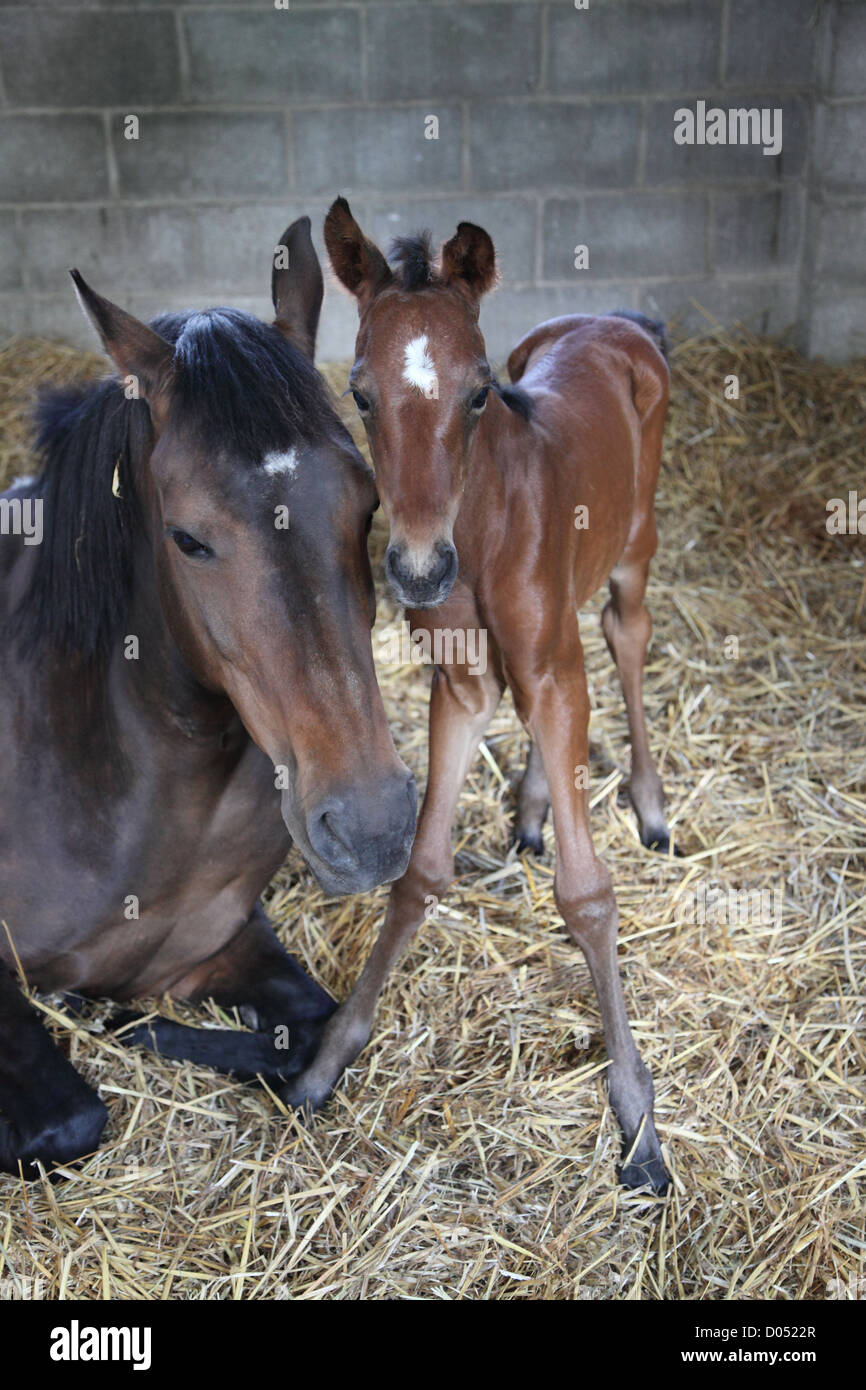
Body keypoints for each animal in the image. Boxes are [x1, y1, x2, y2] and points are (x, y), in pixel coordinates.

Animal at [287, 198, 675, 1195]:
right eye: (360, 393)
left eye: (476, 392)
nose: (420, 569)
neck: (490, 520)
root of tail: (618, 320)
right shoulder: (460, 682)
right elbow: (419, 872)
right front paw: (329, 1055)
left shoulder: (551, 664)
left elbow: (588, 894)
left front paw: (638, 1117)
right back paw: (535, 807)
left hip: (634, 542)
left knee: (624, 634)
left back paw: (650, 803)